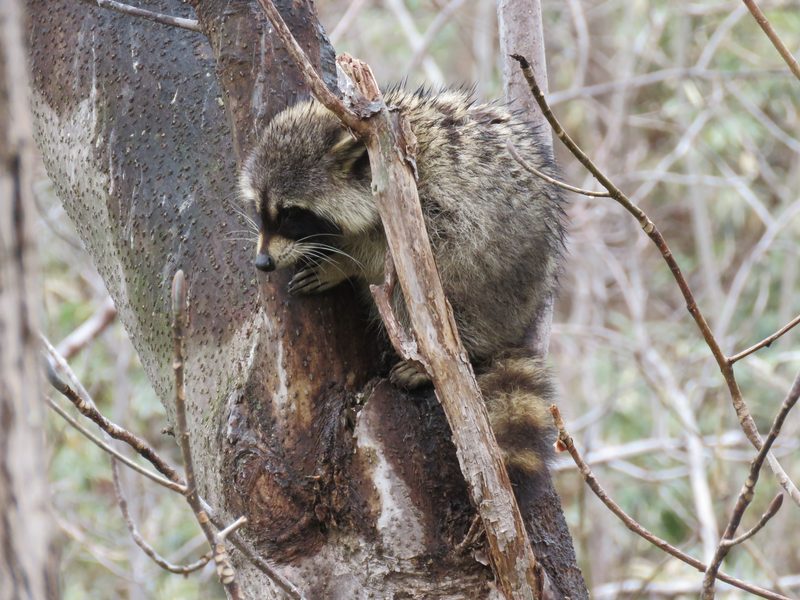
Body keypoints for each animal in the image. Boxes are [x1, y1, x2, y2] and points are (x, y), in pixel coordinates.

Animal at [239, 88, 566, 481]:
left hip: (491, 275)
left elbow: (395, 253)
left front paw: (342, 263)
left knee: (443, 285)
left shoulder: (427, 201)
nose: (263, 262)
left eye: (291, 214)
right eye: (260, 209)